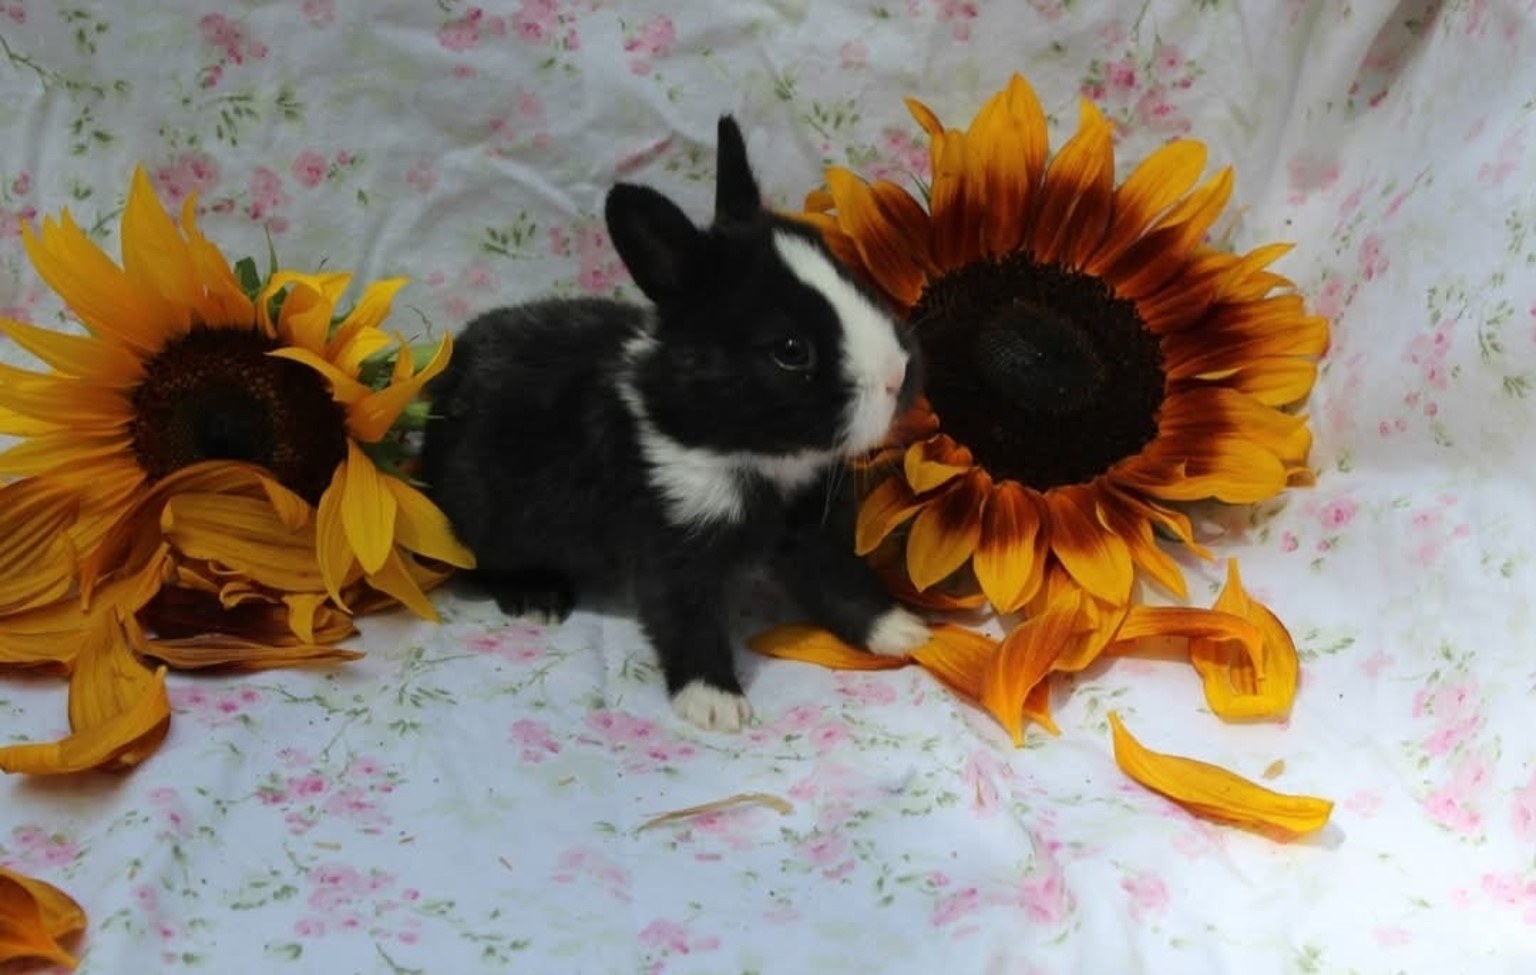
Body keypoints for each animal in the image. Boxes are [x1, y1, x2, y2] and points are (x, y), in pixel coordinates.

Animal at [418, 115, 931, 732]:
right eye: (790, 350)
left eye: (851, 277)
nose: (899, 374)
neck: (739, 446)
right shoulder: (671, 544)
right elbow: (686, 621)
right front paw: (715, 703)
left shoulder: (813, 532)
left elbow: (844, 586)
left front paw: (903, 632)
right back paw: (537, 596)